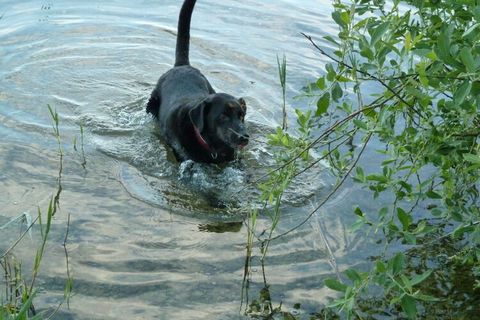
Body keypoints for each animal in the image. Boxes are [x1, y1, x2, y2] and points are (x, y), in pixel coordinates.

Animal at [146, 0, 249, 164]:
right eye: (223, 116)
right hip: (152, 103)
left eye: (241, 116)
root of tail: (182, 65)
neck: (212, 146)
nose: (244, 137)